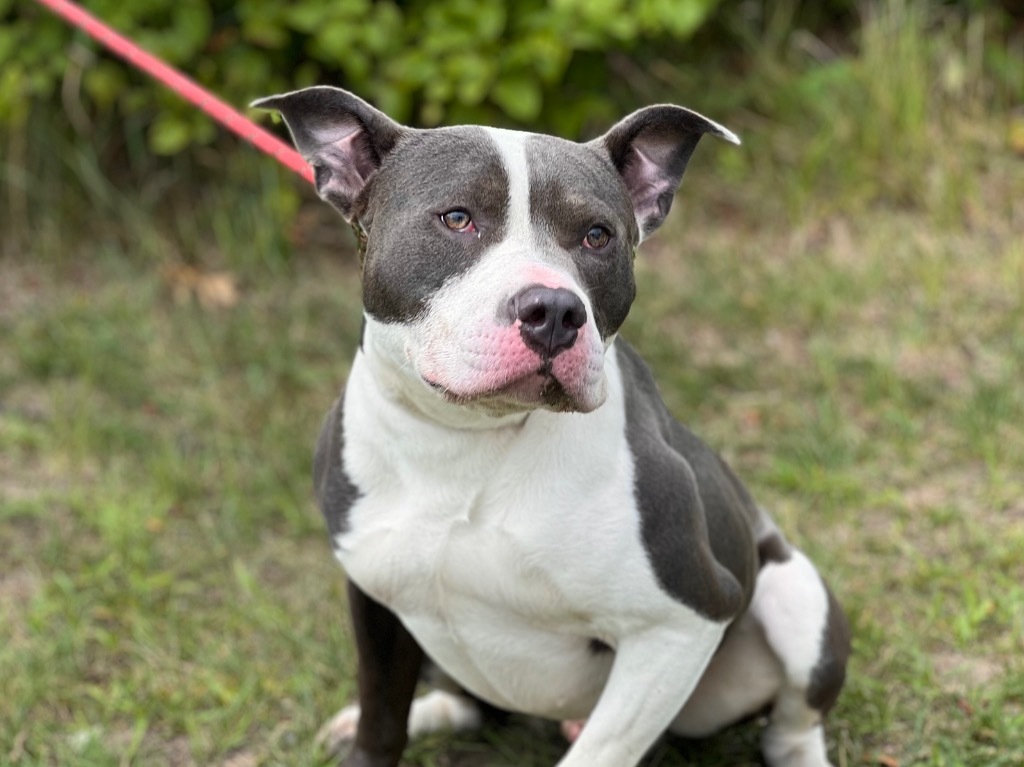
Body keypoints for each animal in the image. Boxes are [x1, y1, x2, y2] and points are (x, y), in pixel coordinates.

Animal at [253, 86, 847, 765]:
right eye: (457, 219)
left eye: (597, 235)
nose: (557, 309)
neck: (467, 442)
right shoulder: (374, 598)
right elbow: (382, 718)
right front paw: (369, 728)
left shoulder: (683, 617)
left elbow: (597, 750)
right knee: (467, 702)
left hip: (794, 600)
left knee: (790, 725)